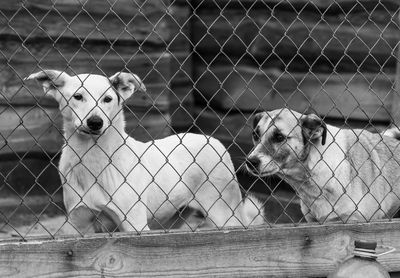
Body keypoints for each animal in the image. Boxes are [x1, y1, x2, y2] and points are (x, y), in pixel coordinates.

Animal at [25, 69, 262, 232]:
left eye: (108, 99)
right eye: (77, 96)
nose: (95, 122)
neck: (93, 159)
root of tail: (211, 139)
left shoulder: (135, 225)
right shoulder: (79, 226)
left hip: (225, 215)